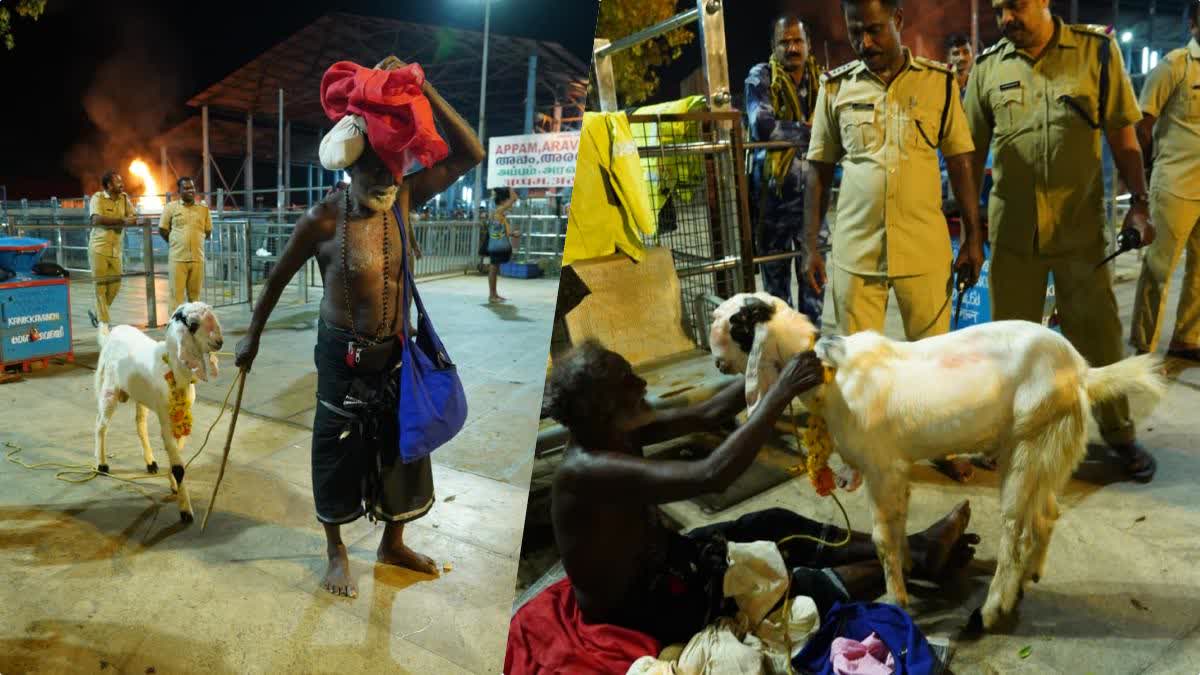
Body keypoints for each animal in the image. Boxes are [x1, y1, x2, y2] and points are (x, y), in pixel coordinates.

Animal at [94, 302, 225, 523]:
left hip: (141, 397)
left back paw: (150, 462)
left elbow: (177, 453)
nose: (219, 342)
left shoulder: (179, 418)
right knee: (101, 425)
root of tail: (111, 334)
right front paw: (185, 511)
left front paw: (174, 486)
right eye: (193, 324)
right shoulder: (165, 418)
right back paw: (102, 465)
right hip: (109, 389)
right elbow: (179, 468)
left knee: (139, 424)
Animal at [705, 291, 1166, 629]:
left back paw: (991, 611)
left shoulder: (881, 467)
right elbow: (898, 524)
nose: (716, 362)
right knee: (1046, 515)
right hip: (1050, 447)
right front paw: (911, 566)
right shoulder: (896, 469)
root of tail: (1082, 372)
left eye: (733, 326)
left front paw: (897, 600)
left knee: (1016, 531)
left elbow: (882, 537)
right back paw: (1030, 576)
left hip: (1030, 442)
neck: (830, 373)